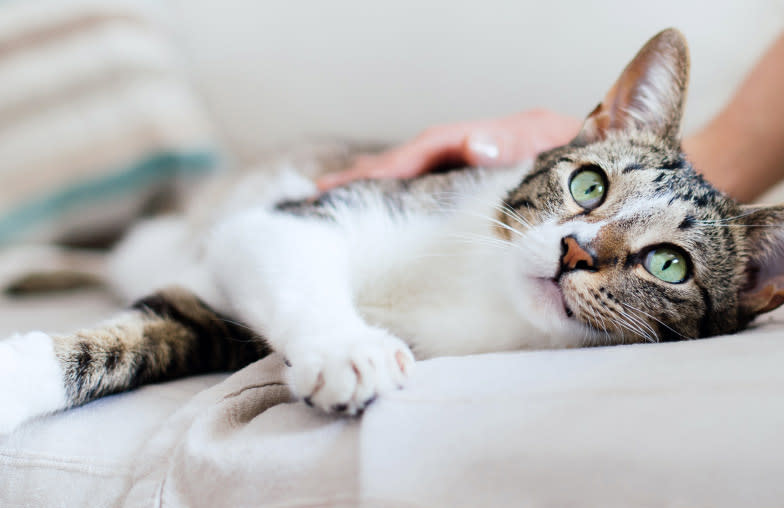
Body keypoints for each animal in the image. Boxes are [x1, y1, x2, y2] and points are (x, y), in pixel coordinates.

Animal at [1, 28, 784, 432]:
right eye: (589, 185)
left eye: (669, 265)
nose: (574, 250)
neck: (480, 289)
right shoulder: (301, 215)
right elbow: (280, 257)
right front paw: (349, 348)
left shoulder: (218, 323)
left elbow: (146, 340)